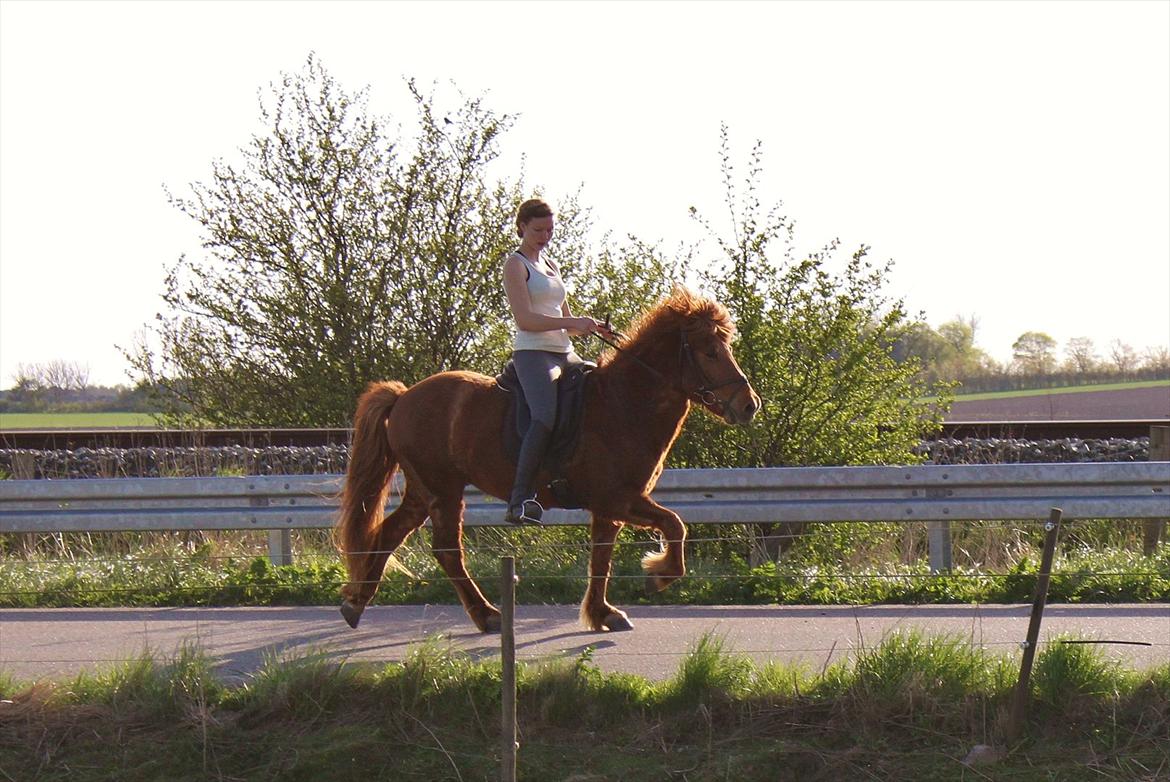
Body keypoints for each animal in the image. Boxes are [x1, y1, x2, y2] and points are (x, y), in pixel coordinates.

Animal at [336, 290, 758, 632]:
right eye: (710, 352)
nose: (749, 405)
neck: (622, 403)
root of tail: (404, 396)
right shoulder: (618, 498)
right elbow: (675, 525)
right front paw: (660, 575)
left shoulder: (610, 508)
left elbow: (601, 559)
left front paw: (603, 613)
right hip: (442, 489)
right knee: (446, 550)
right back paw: (488, 615)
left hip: (423, 491)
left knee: (389, 534)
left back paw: (356, 603)